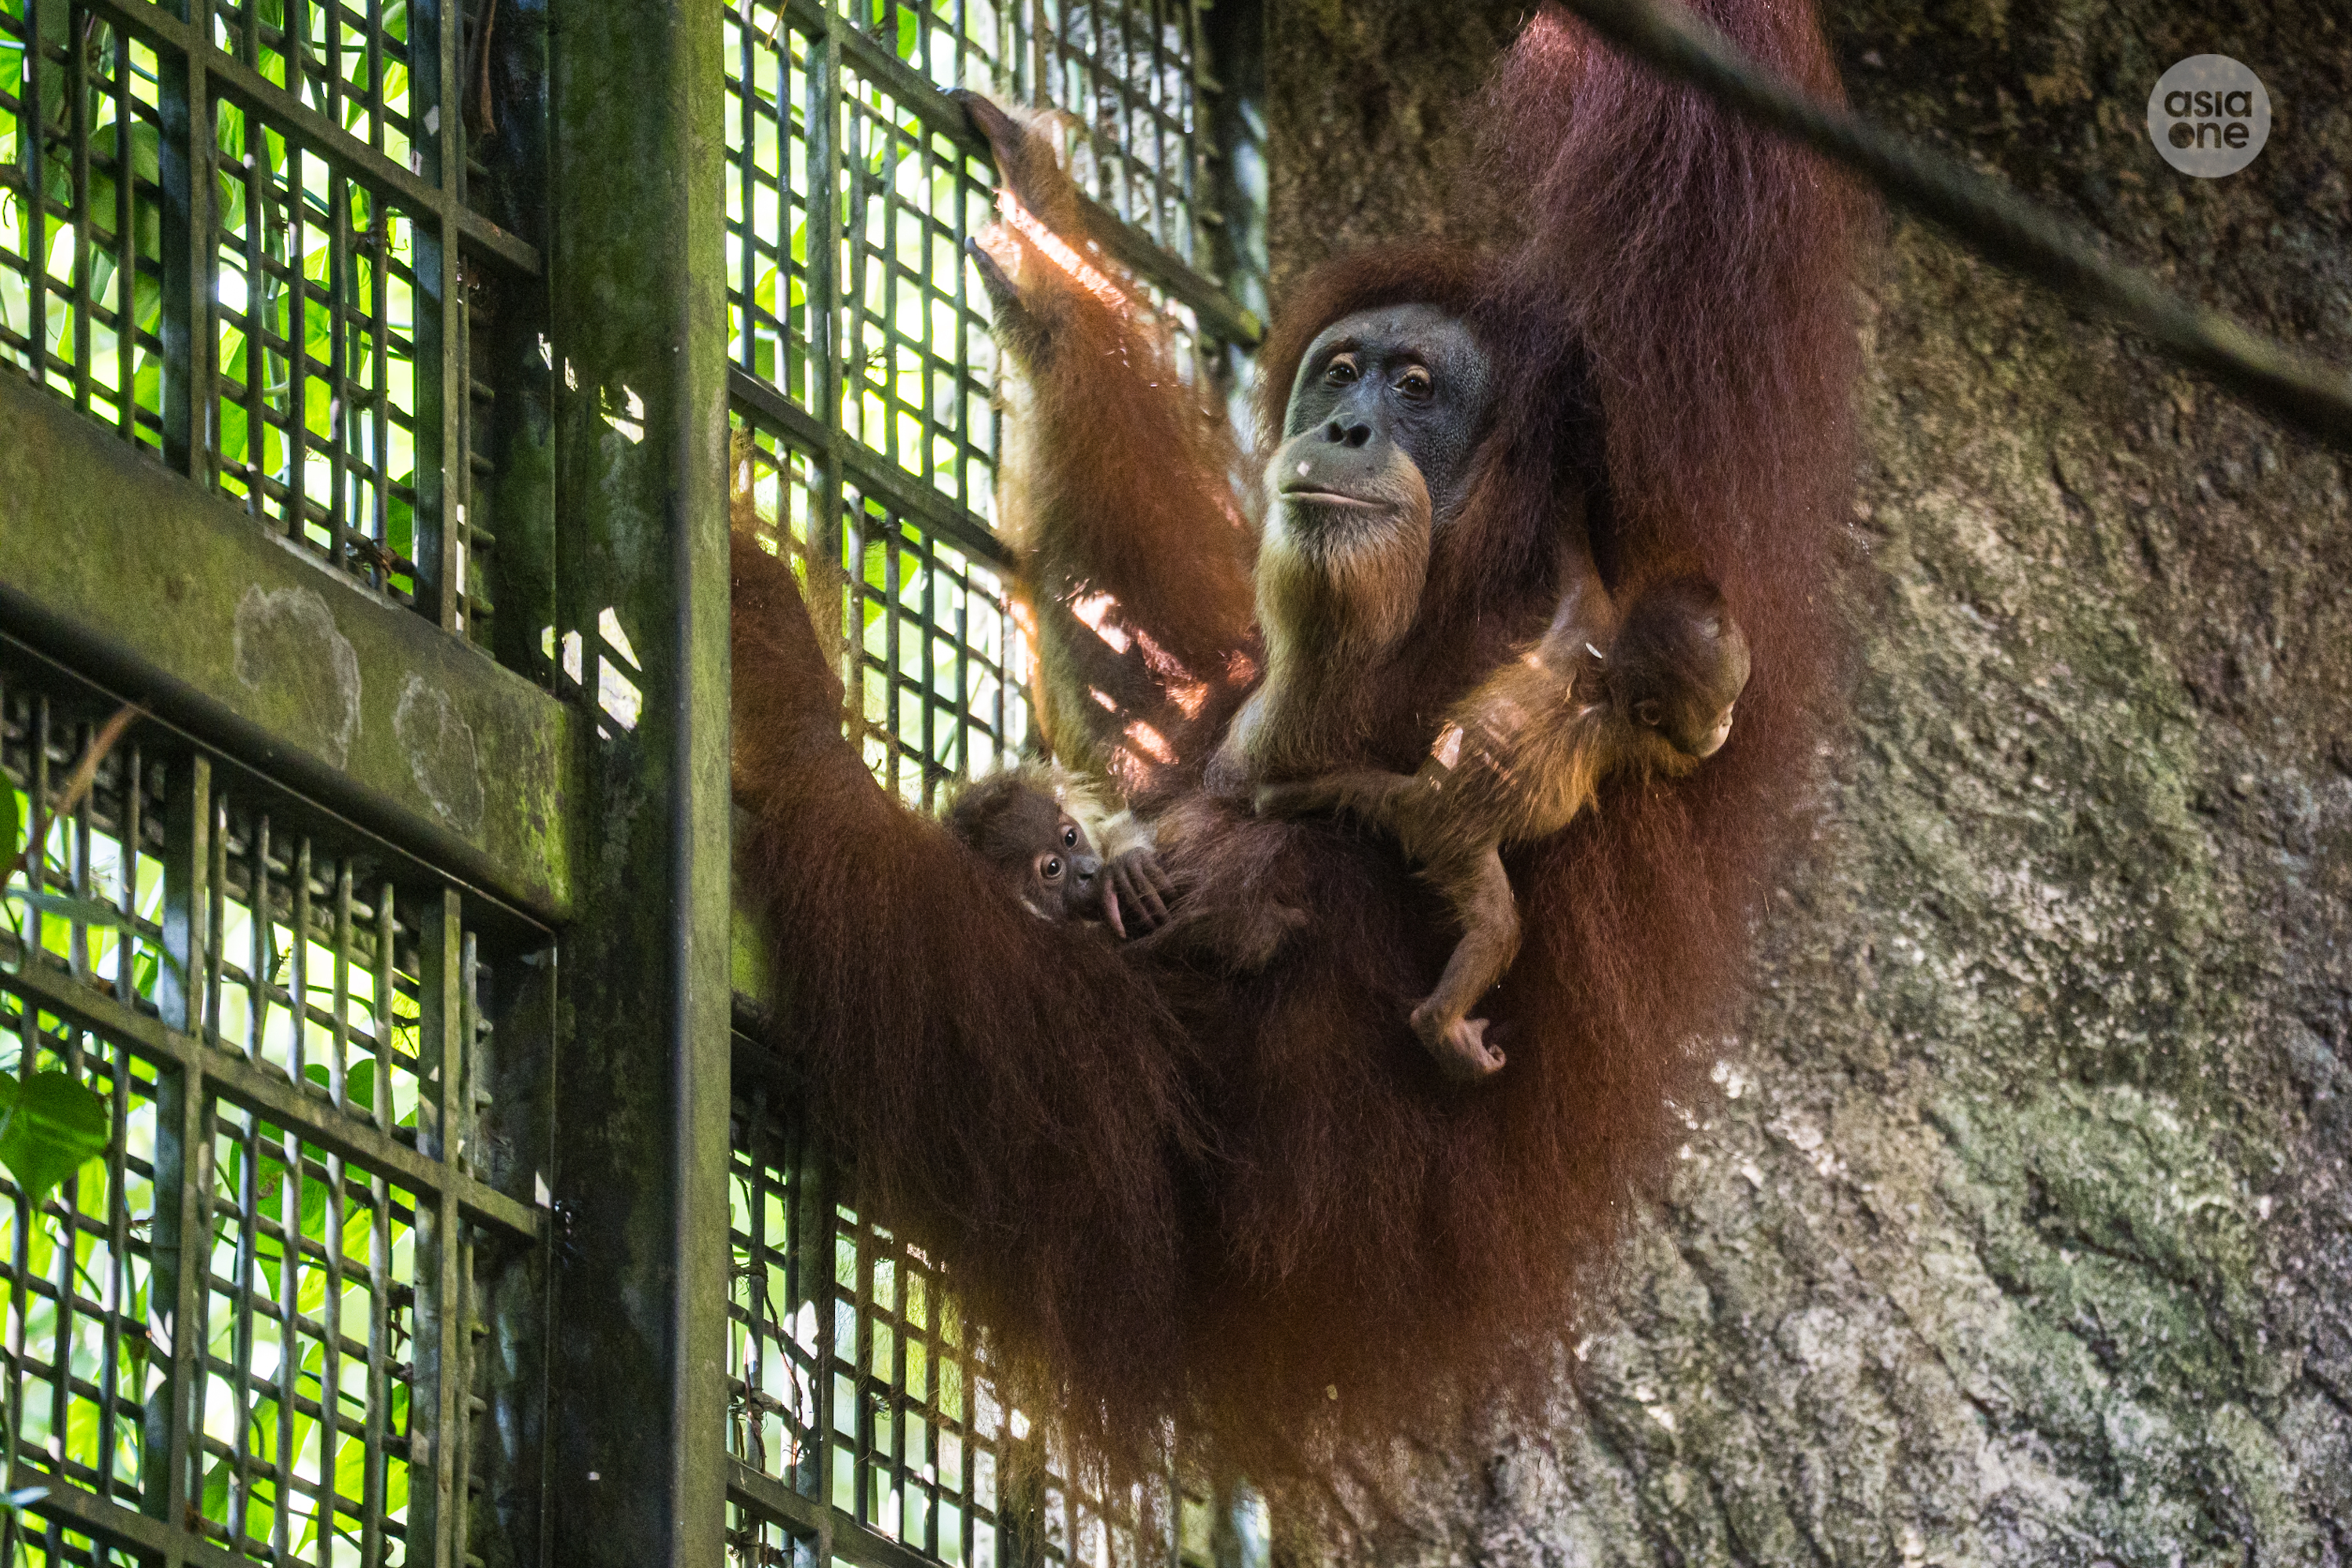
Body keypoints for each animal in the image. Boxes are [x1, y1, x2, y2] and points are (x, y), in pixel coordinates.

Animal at [1255, 574, 1751, 1080]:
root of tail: (1420, 804)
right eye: (1720, 711)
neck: (1608, 690)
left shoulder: (1575, 635)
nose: (1729, 721)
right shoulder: (1642, 740)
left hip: (1395, 795)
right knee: (1496, 928)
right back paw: (1439, 1025)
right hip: (1457, 849)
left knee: (1352, 786)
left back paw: (1274, 796)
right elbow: (1688, 760)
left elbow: (1582, 586)